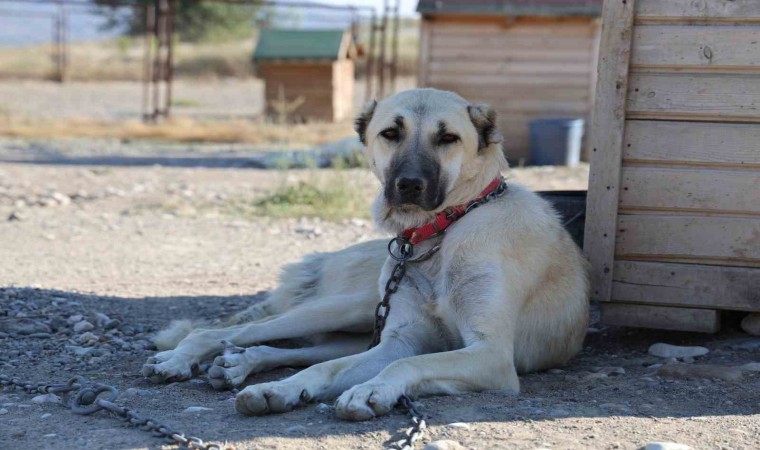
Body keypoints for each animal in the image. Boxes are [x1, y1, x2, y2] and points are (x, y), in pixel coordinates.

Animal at [142, 89, 588, 422]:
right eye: (391, 133)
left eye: (449, 138)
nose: (409, 185)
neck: (439, 234)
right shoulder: (401, 340)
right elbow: (333, 369)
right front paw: (287, 387)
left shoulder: (490, 355)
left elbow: (405, 366)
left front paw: (368, 389)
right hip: (345, 308)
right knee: (227, 331)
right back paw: (183, 362)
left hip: (354, 323)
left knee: (289, 348)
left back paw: (239, 366)